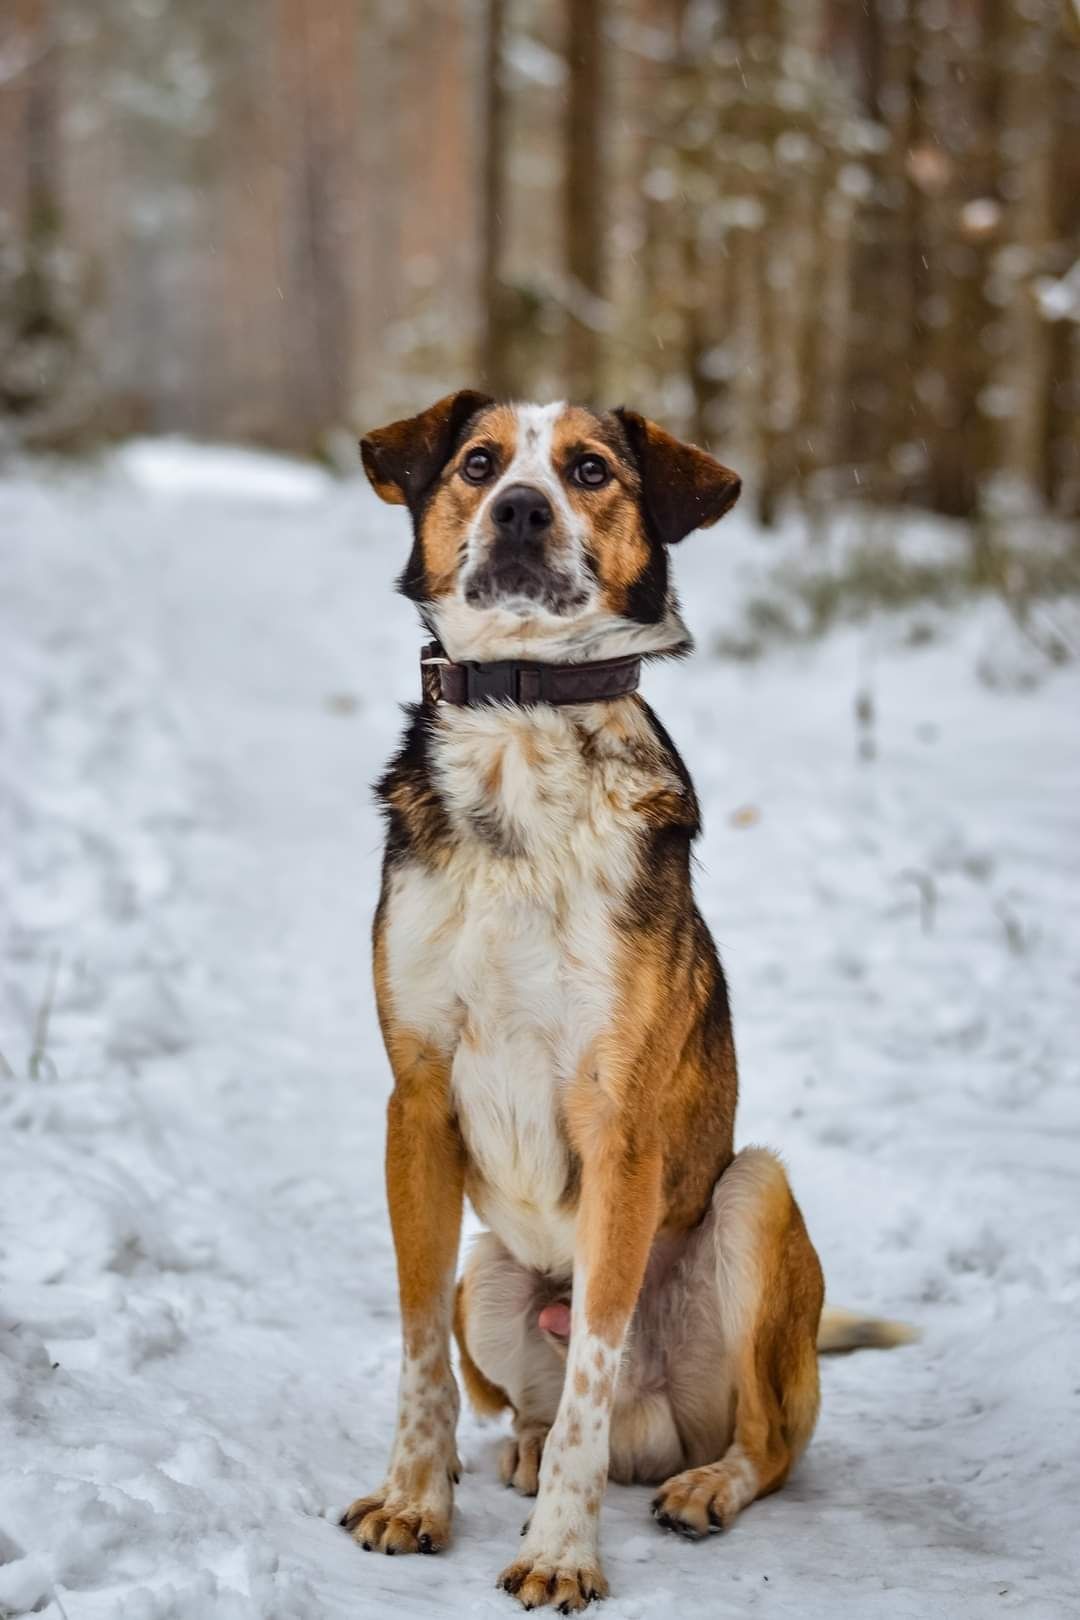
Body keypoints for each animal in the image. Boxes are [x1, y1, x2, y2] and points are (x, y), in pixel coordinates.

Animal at [340, 388, 913, 1607]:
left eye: (590, 470)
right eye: (478, 463)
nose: (518, 509)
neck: (521, 728)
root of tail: (665, 1435)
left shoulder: (622, 1128)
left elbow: (592, 1377)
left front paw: (562, 1551)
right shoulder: (415, 1105)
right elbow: (417, 1353)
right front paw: (414, 1500)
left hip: (755, 1198)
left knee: (766, 1442)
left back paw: (703, 1487)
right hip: (485, 1275)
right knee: (522, 1394)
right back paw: (513, 1452)